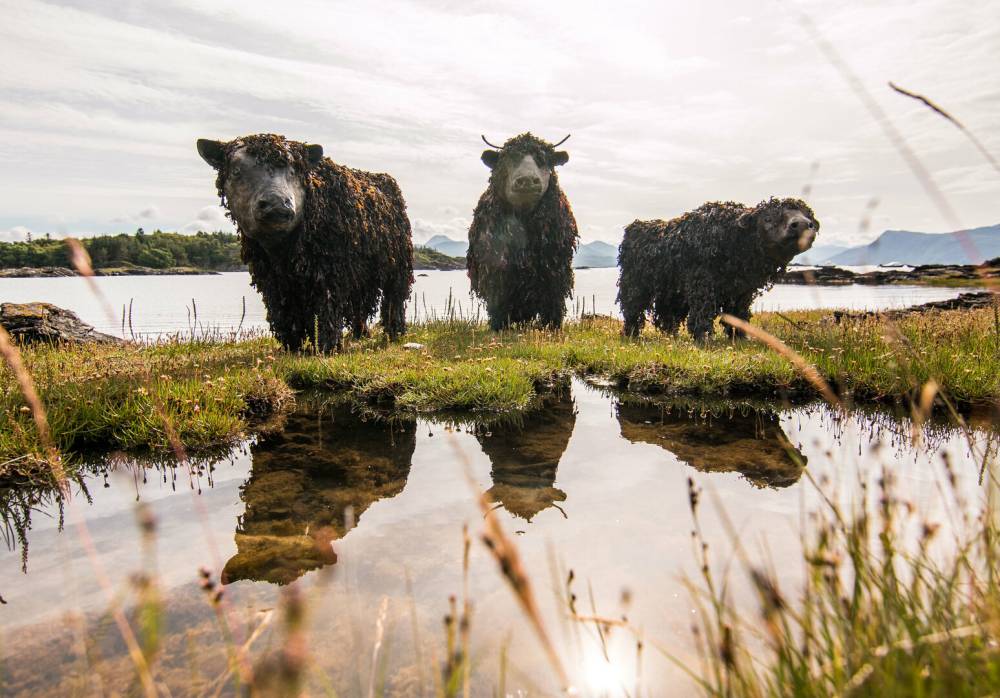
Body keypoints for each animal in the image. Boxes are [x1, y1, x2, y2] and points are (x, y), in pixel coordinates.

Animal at [195, 132, 414, 348]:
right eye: (236, 171)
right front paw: (293, 347)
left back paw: (394, 333)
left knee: (394, 300)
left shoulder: (329, 276)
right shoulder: (273, 282)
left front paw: (327, 347)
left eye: (294, 171)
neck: (282, 252)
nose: (276, 204)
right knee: (359, 304)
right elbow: (285, 316)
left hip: (398, 268)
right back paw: (361, 334)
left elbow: (325, 314)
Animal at [466, 133, 580, 328]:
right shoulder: (496, 273)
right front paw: (498, 327)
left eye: (544, 159)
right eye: (508, 158)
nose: (527, 181)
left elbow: (553, 304)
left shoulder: (555, 273)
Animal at [616, 198, 820, 340]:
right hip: (634, 285)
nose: (803, 225)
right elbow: (702, 313)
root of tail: (633, 229)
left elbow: (738, 314)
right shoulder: (702, 283)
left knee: (668, 316)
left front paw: (740, 337)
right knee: (632, 310)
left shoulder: (742, 291)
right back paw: (631, 335)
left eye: (808, 216)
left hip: (670, 291)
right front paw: (704, 338)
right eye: (768, 218)